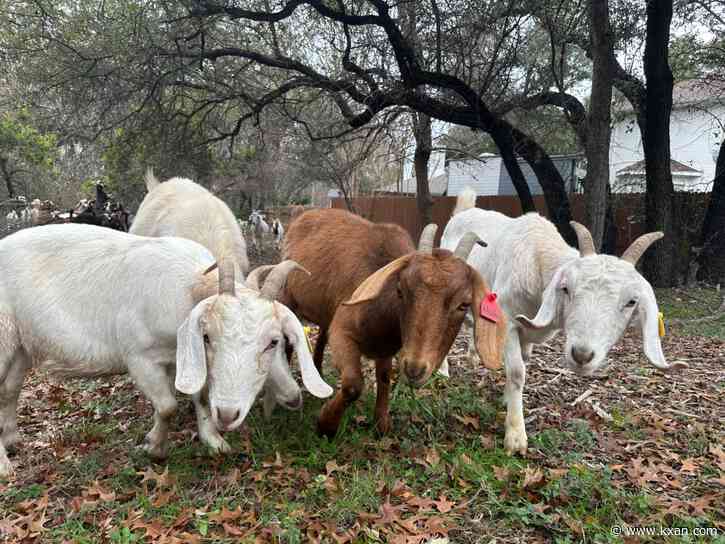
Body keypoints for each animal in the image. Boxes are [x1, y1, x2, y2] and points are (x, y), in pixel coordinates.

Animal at [0, 224, 332, 477]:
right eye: (207, 336)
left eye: (274, 341)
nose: (227, 415)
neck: (187, 289)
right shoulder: (140, 358)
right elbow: (167, 406)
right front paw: (155, 448)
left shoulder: (182, 360)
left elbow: (199, 396)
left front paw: (213, 441)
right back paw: (5, 468)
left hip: (19, 347)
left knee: (10, 389)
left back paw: (12, 440)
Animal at [277, 208, 506, 437]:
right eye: (400, 290)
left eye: (464, 304)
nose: (415, 368)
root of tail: (303, 213)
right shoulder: (343, 331)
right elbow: (353, 385)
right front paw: (326, 425)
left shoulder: (385, 348)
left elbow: (385, 376)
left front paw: (381, 424)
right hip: (286, 294)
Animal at [440, 187, 687, 455]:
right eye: (566, 288)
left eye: (632, 302)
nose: (582, 355)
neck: (538, 258)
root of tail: (465, 209)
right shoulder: (508, 319)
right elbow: (517, 372)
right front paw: (515, 436)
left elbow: (522, 361)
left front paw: (507, 399)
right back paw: (442, 370)